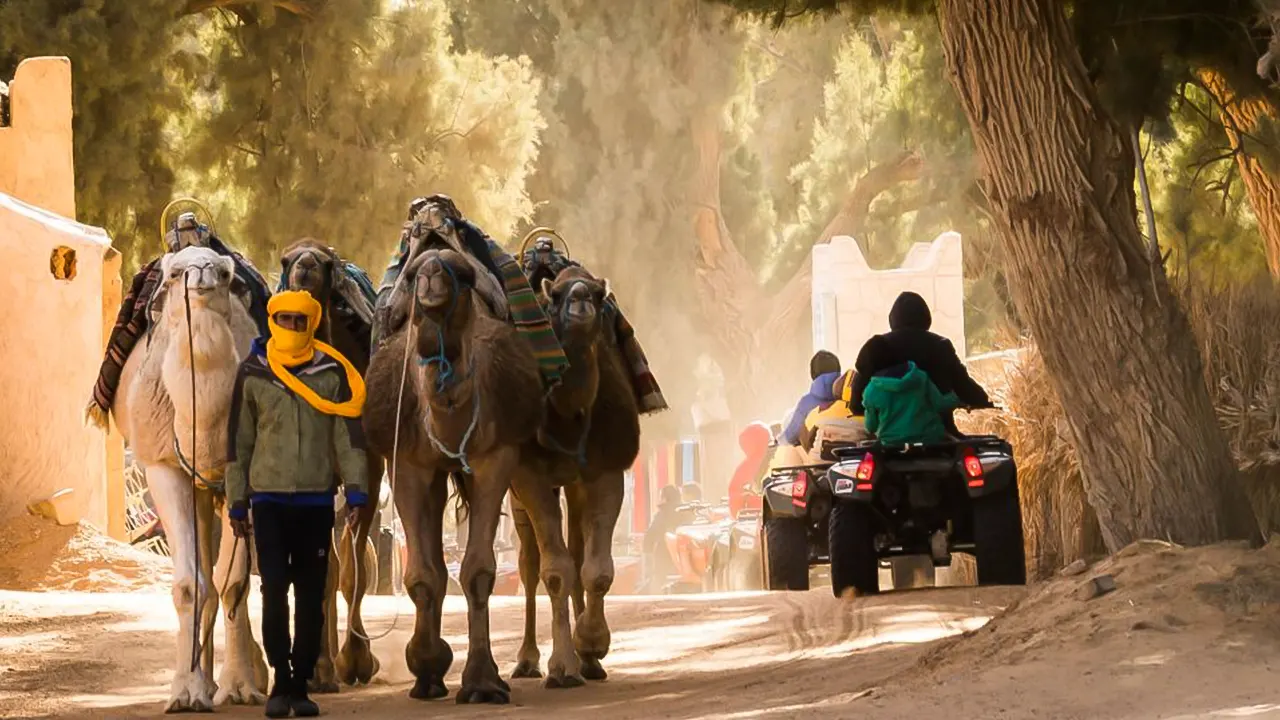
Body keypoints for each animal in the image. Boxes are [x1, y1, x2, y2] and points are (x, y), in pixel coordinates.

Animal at [109, 244, 267, 707]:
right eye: (175, 273)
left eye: (225, 273)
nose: (201, 276)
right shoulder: (163, 467)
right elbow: (189, 586)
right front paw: (185, 690)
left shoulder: (243, 476)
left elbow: (235, 582)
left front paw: (241, 686)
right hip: (195, 489)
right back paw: (207, 680)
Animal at [363, 245, 542, 702]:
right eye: (413, 276)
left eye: (461, 272)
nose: (431, 274)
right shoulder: (407, 463)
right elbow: (422, 575)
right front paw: (426, 668)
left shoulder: (496, 456)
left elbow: (478, 570)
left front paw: (482, 681)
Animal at [506, 263, 640, 681]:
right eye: (554, 297)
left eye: (598, 294)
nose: (580, 297)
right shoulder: (529, 476)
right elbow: (554, 571)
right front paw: (562, 666)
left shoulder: (606, 470)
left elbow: (595, 569)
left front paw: (592, 644)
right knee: (529, 564)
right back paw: (526, 659)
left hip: (574, 485)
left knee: (577, 552)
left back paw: (589, 664)